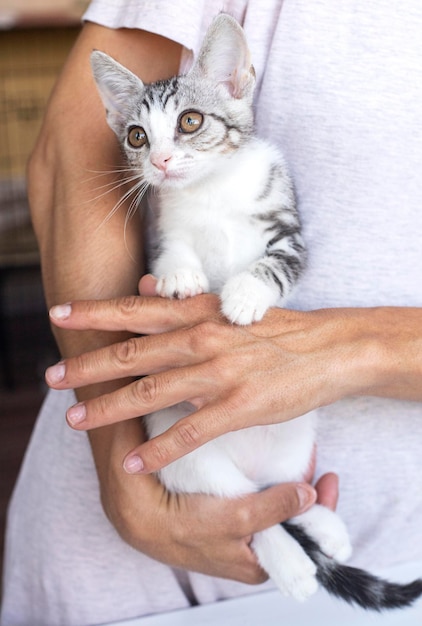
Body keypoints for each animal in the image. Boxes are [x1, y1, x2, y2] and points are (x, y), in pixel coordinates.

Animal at [91, 14, 422, 608]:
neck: (211, 190)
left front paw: (245, 295)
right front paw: (180, 276)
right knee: (248, 508)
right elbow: (168, 254)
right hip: (183, 451)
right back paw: (291, 561)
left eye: (191, 122)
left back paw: (320, 525)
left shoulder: (290, 231)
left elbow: (277, 264)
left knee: (277, 492)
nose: (160, 161)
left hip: (294, 431)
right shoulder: (164, 229)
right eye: (136, 136)